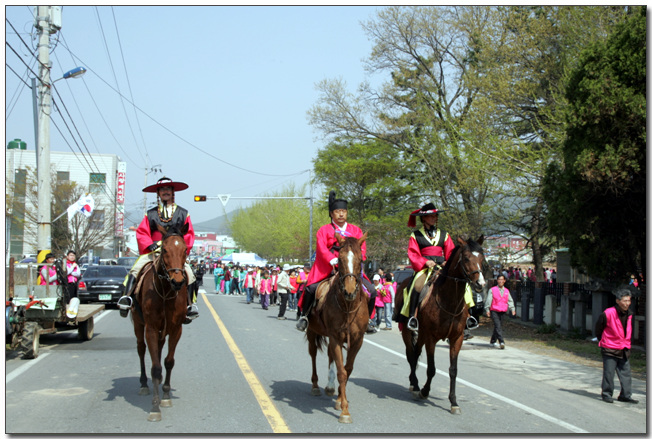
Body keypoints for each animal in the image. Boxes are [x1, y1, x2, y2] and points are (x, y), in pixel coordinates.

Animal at [129, 223, 187, 422]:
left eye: (185, 250)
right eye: (165, 250)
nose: (178, 281)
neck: (166, 291)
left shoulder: (176, 329)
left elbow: (168, 362)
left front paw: (166, 396)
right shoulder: (151, 328)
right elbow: (155, 367)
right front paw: (155, 407)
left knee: (160, 351)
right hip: (138, 324)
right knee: (140, 350)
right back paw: (143, 384)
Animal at [306, 234, 370, 422]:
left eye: (360, 259)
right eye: (340, 259)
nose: (350, 291)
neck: (348, 305)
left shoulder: (356, 340)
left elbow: (347, 370)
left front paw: (340, 401)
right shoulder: (335, 336)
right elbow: (342, 371)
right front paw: (345, 411)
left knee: (330, 357)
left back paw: (330, 387)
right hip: (312, 332)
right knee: (313, 354)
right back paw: (315, 386)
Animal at [394, 235, 486, 414]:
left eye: (482, 258)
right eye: (466, 258)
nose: (480, 284)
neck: (448, 300)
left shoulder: (457, 338)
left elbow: (453, 371)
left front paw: (454, 402)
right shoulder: (431, 338)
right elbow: (431, 368)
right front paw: (424, 391)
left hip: (421, 334)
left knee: (415, 353)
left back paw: (414, 383)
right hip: (409, 331)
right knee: (411, 354)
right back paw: (415, 385)